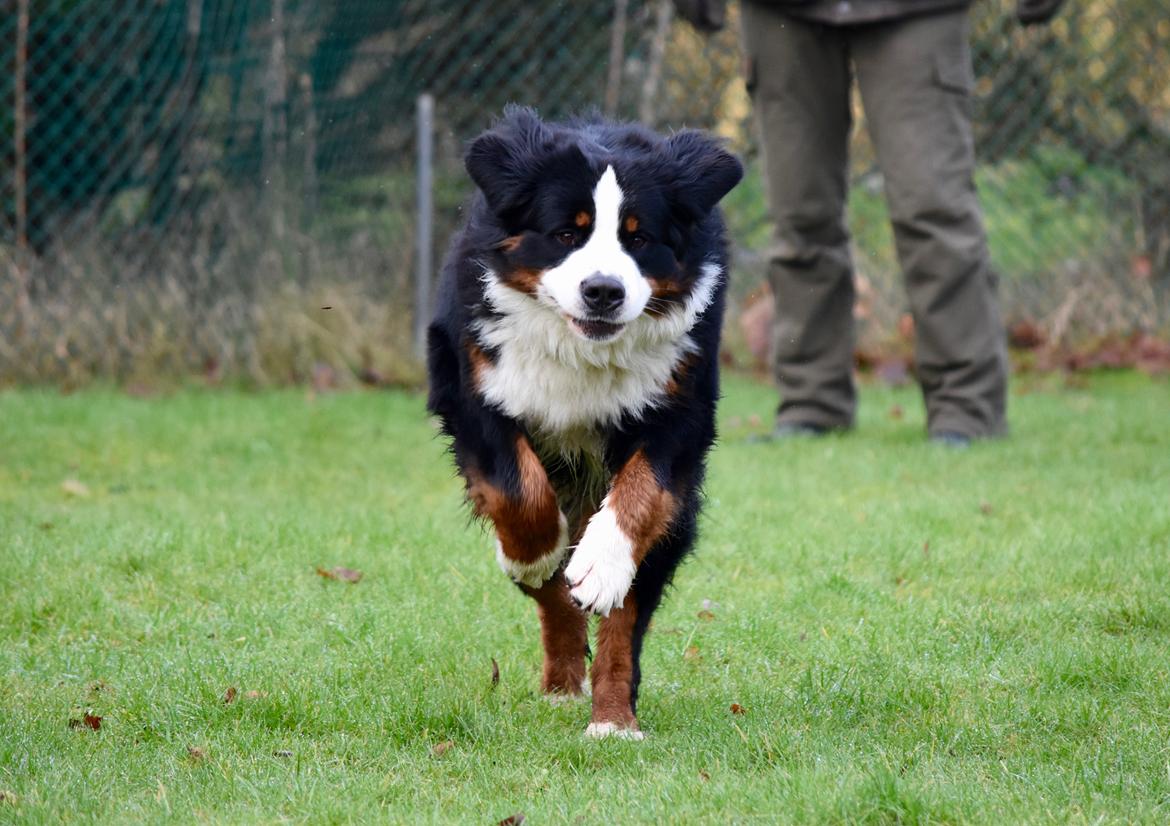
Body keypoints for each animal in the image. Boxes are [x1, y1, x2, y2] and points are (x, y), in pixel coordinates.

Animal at [428, 107, 739, 734]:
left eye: (638, 238)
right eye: (567, 234)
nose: (603, 291)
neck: (582, 352)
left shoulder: (680, 407)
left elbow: (642, 491)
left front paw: (600, 563)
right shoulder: (470, 382)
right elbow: (518, 490)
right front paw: (533, 553)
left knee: (625, 615)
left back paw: (613, 719)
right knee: (553, 594)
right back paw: (561, 679)